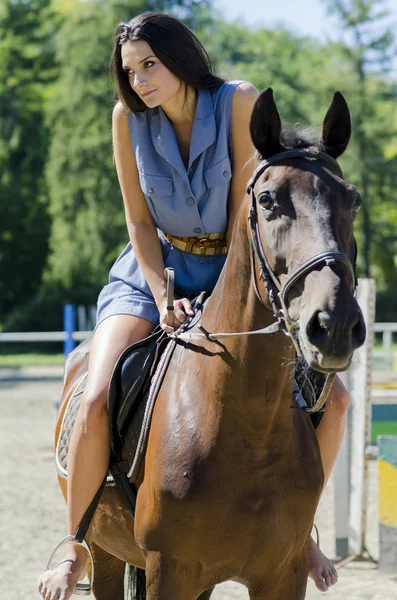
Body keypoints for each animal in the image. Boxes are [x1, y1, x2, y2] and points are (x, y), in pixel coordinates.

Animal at [53, 86, 366, 596]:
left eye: (353, 201)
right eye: (267, 199)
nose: (334, 324)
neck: (249, 425)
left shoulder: (282, 575)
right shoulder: (170, 570)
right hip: (106, 554)